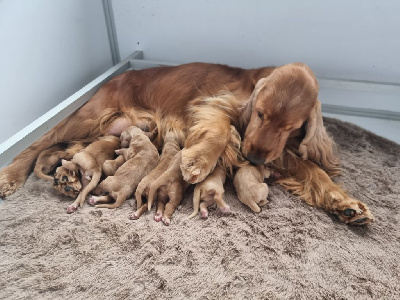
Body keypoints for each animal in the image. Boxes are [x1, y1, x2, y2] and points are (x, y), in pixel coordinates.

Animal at [0, 62, 376, 224]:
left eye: (291, 126)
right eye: (260, 114)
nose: (253, 159)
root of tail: (117, 75)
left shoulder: (278, 150)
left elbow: (315, 171)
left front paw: (345, 204)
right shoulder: (215, 106)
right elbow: (219, 133)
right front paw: (197, 162)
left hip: (101, 132)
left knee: (64, 150)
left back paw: (67, 177)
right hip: (91, 116)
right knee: (39, 142)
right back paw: (11, 175)